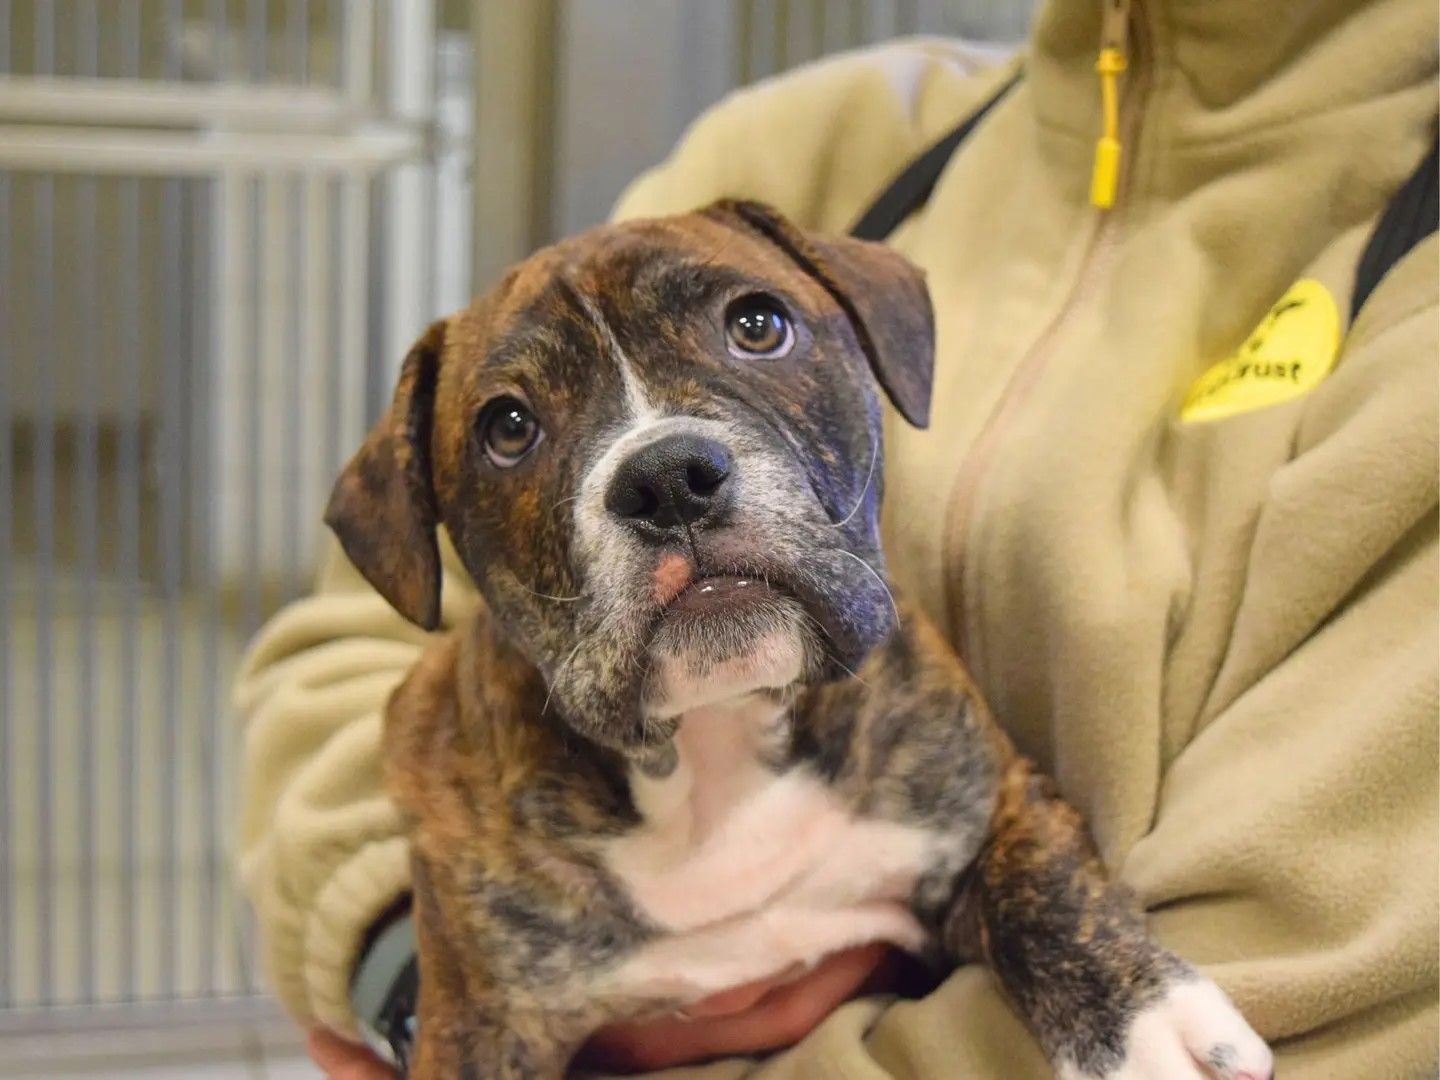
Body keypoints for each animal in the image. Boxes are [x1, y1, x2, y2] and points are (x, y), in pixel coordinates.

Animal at [326, 201, 1272, 1080]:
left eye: (757, 325)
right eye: (509, 427)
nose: (667, 477)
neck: (719, 744)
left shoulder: (992, 793)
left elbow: (1044, 884)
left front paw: (1141, 1021)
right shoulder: (481, 1022)